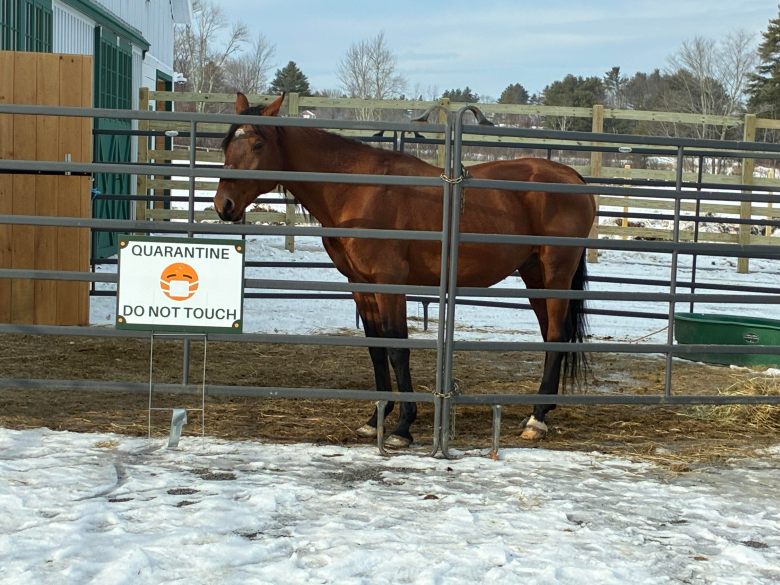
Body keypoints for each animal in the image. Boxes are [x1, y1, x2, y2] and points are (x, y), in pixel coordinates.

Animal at [214, 93, 595, 448]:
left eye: (257, 144)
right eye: (227, 143)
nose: (224, 205)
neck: (357, 190)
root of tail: (573, 178)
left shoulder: (390, 283)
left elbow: (398, 348)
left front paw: (402, 427)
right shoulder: (361, 285)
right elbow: (377, 349)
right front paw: (375, 419)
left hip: (556, 274)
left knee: (556, 336)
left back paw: (537, 419)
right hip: (534, 275)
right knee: (552, 335)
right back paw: (542, 409)